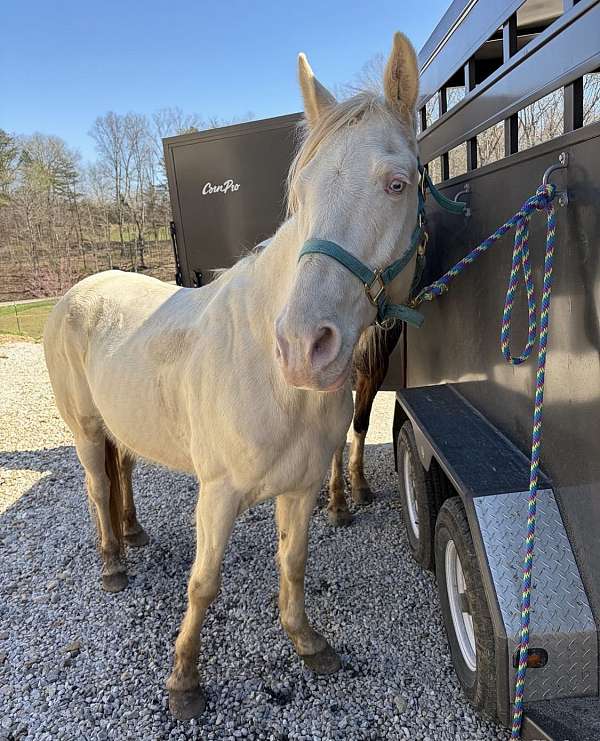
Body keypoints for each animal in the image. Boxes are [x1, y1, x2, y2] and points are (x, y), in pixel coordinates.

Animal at [43, 31, 420, 721]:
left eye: (397, 184)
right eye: (301, 195)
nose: (302, 347)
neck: (273, 382)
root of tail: (77, 291)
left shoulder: (300, 488)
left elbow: (293, 564)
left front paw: (307, 644)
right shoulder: (217, 495)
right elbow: (203, 585)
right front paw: (183, 683)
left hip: (122, 422)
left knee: (122, 469)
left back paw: (134, 534)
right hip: (84, 428)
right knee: (95, 485)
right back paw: (112, 562)